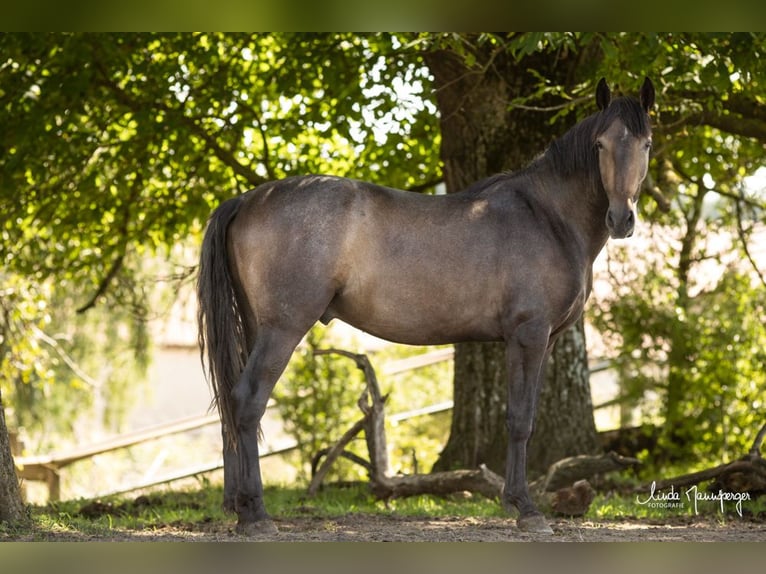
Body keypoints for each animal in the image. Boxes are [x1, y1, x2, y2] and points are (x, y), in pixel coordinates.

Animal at [197, 77, 655, 535]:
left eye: (646, 144)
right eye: (599, 144)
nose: (621, 220)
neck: (547, 216)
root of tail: (246, 200)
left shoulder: (548, 340)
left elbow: (527, 416)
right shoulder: (528, 335)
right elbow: (520, 419)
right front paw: (525, 507)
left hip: (255, 327)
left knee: (232, 404)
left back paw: (238, 507)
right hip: (283, 329)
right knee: (248, 400)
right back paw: (256, 515)